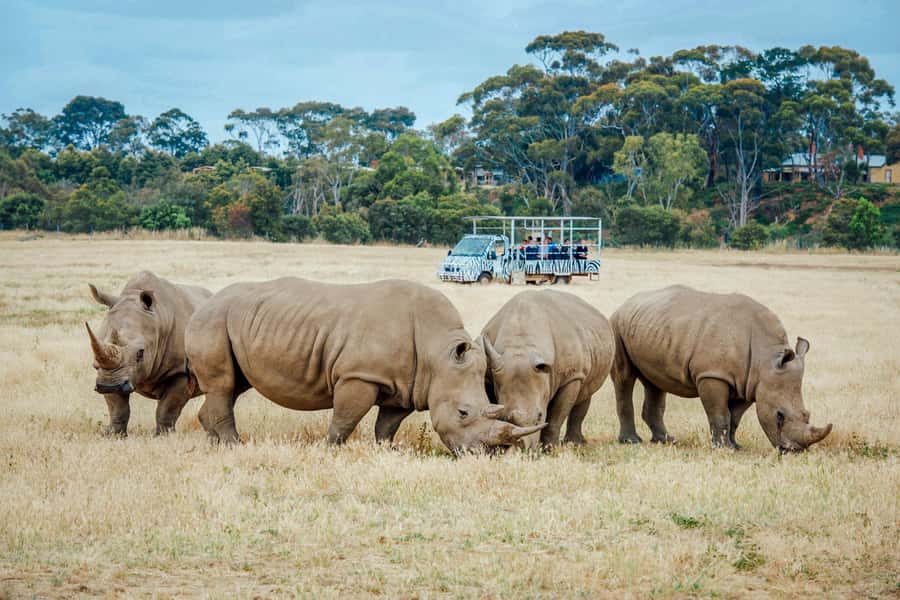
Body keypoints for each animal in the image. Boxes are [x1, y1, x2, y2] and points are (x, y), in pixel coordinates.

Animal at [85, 271, 213, 436]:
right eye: (96, 347)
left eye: (140, 353)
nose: (109, 386)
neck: (158, 321)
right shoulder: (108, 373)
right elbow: (117, 409)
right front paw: (114, 435)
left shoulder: (180, 371)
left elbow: (167, 409)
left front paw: (162, 436)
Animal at [184, 278, 543, 453]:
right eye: (463, 413)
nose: (485, 454)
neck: (437, 351)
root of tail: (202, 305)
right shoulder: (358, 376)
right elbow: (345, 418)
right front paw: (330, 450)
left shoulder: (409, 384)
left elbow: (387, 424)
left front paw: (388, 451)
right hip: (212, 321)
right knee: (223, 385)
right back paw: (235, 446)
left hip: (232, 321)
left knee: (231, 386)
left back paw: (215, 444)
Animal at [481, 290, 615, 449]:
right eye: (505, 416)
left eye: (540, 416)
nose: (523, 446)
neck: (522, 344)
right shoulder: (491, 374)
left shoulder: (571, 377)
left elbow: (556, 417)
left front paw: (550, 449)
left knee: (586, 391)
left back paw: (575, 444)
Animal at [610, 285, 832, 452]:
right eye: (779, 415)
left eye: (807, 414)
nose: (794, 450)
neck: (766, 358)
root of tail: (626, 303)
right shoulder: (712, 375)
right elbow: (720, 413)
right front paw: (722, 449)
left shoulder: (749, 383)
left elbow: (734, 418)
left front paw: (735, 446)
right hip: (616, 324)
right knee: (624, 378)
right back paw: (631, 442)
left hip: (652, 326)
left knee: (655, 383)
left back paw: (666, 440)